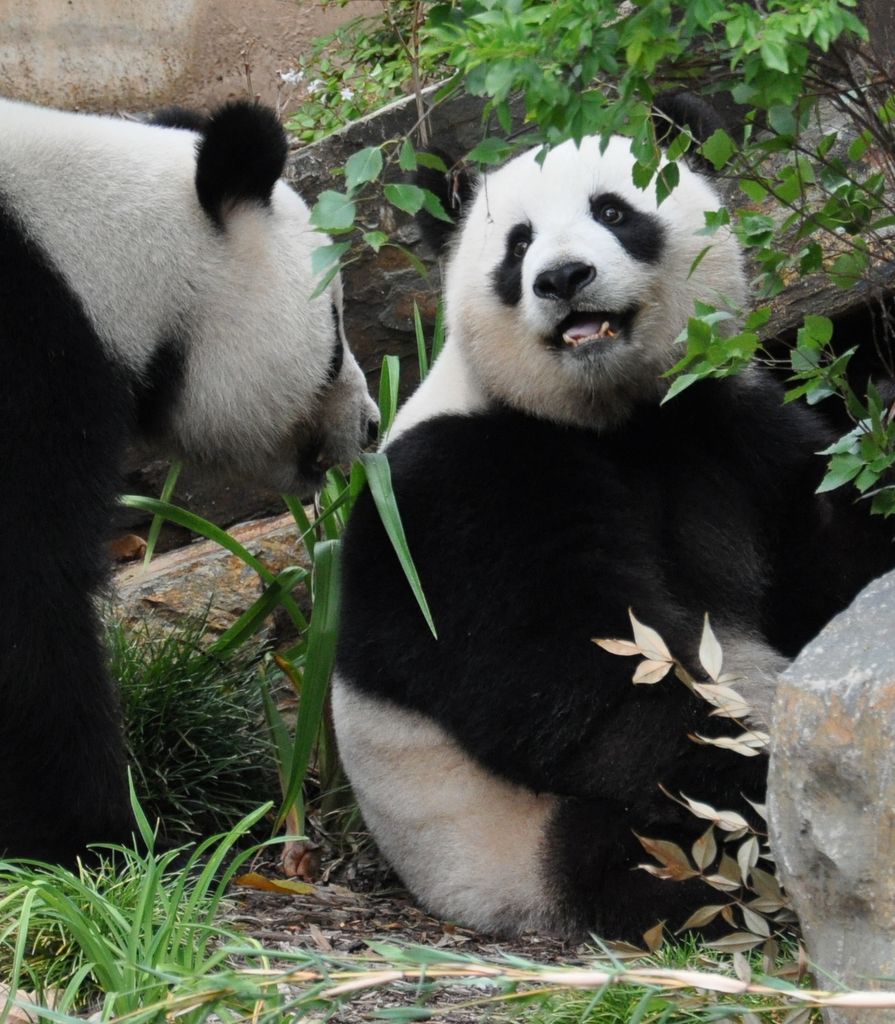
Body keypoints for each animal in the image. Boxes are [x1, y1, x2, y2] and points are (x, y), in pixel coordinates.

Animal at [331, 96, 895, 942]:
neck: (612, 418)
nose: (563, 277)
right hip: (501, 841)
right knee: (656, 849)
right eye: (517, 244)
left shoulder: (722, 423)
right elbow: (586, 681)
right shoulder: (459, 490)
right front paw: (772, 776)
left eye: (612, 211)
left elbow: (826, 559)